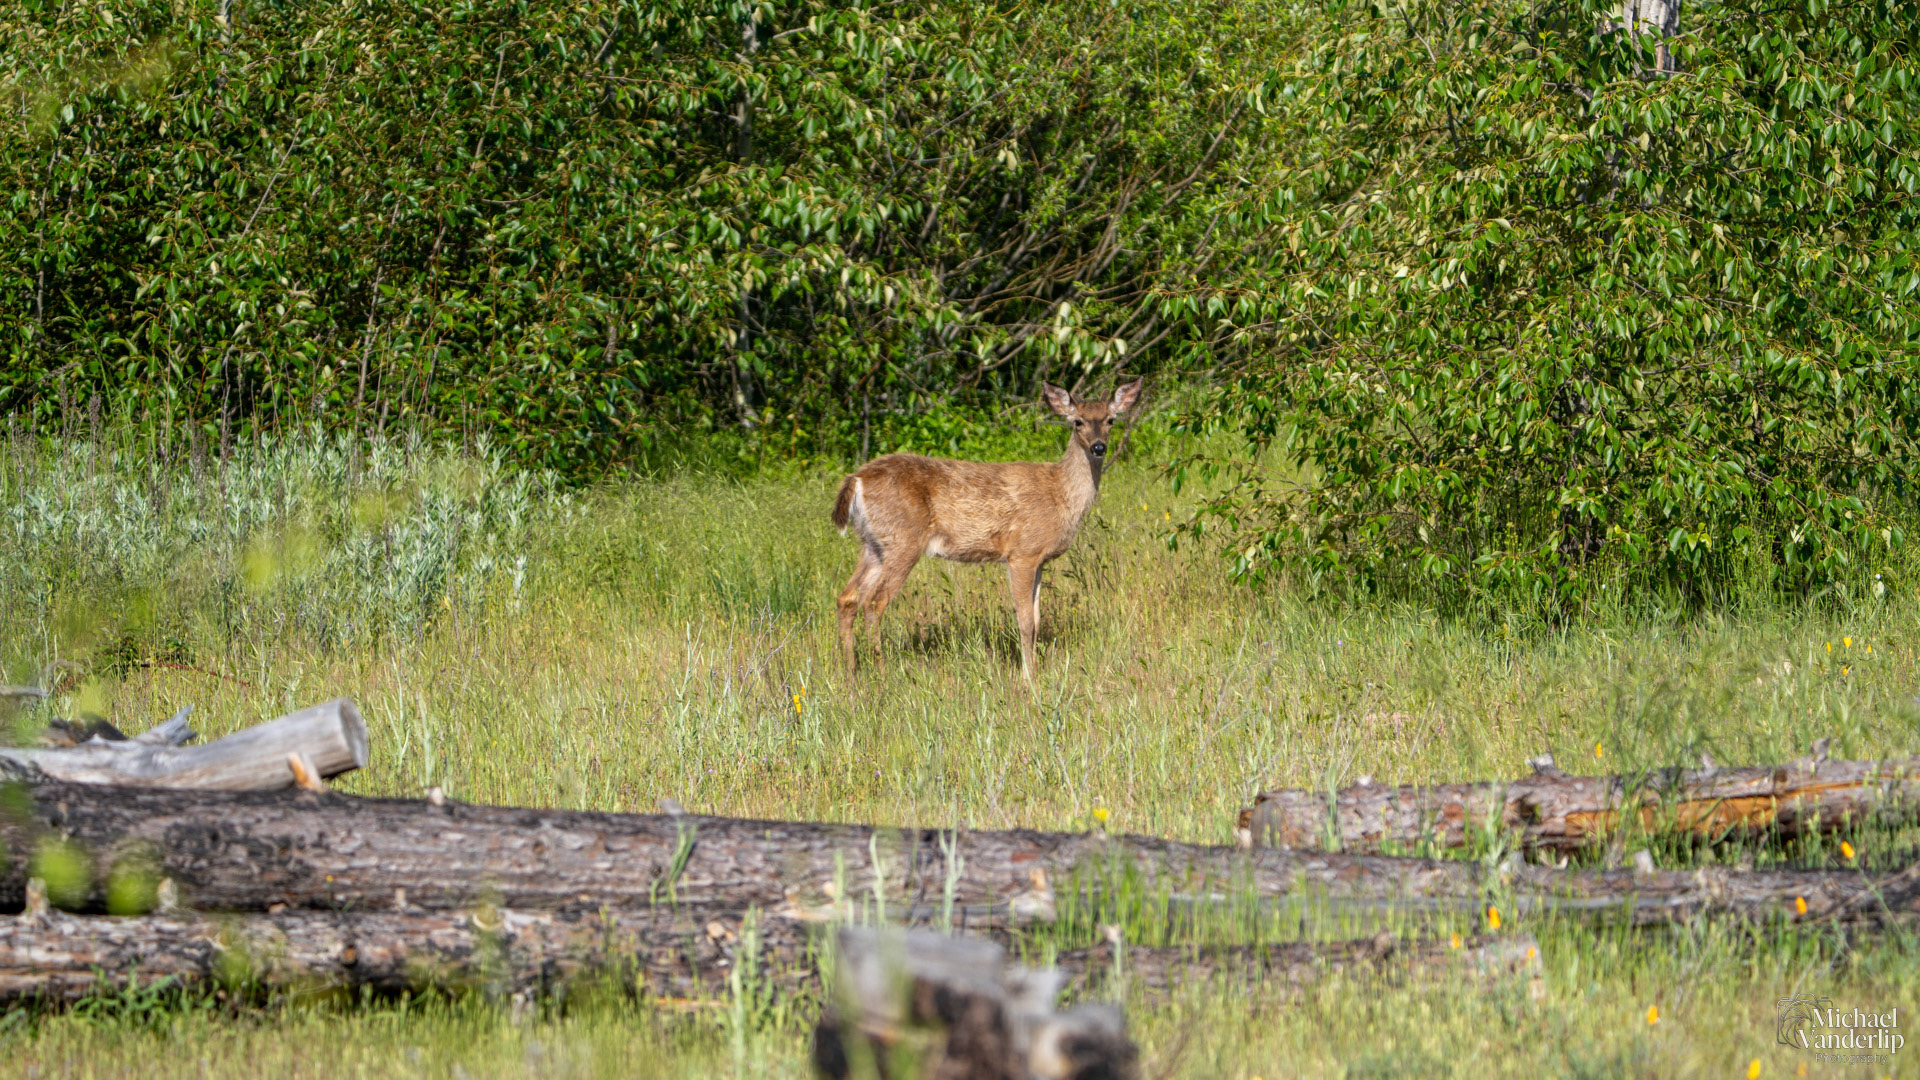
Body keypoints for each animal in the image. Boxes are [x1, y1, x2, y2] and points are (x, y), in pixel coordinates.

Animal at [830, 378, 1144, 678]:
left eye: (1111, 419)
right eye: (1078, 421)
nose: (1099, 447)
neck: (1060, 496)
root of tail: (857, 479)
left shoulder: (1038, 558)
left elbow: (1037, 618)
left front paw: (1033, 670)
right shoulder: (1022, 552)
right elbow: (1025, 620)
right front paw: (1028, 679)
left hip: (874, 544)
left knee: (847, 597)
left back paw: (851, 674)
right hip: (903, 541)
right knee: (874, 602)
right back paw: (881, 674)